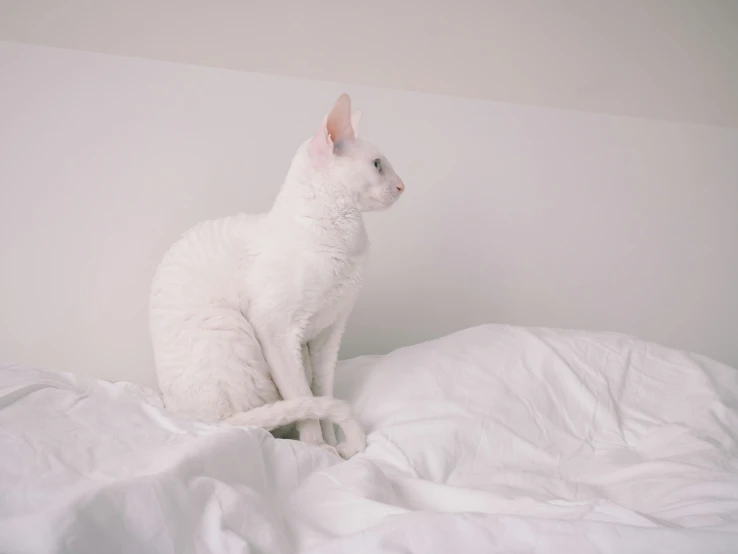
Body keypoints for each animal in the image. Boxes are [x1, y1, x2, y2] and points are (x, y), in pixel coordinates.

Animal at [147, 94, 406, 458]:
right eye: (378, 165)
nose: (402, 186)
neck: (346, 239)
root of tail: (199, 420)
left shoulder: (327, 336)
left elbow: (321, 393)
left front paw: (332, 444)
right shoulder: (277, 332)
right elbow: (305, 401)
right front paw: (318, 451)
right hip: (231, 329)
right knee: (266, 419)